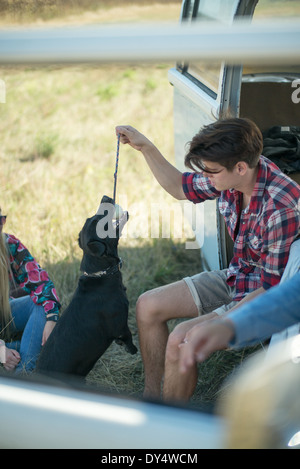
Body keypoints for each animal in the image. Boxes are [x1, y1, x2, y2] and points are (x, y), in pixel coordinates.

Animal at [36, 196, 137, 378]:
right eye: (98, 222)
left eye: (90, 218)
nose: (106, 197)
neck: (102, 274)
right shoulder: (119, 324)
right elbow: (128, 336)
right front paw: (132, 349)